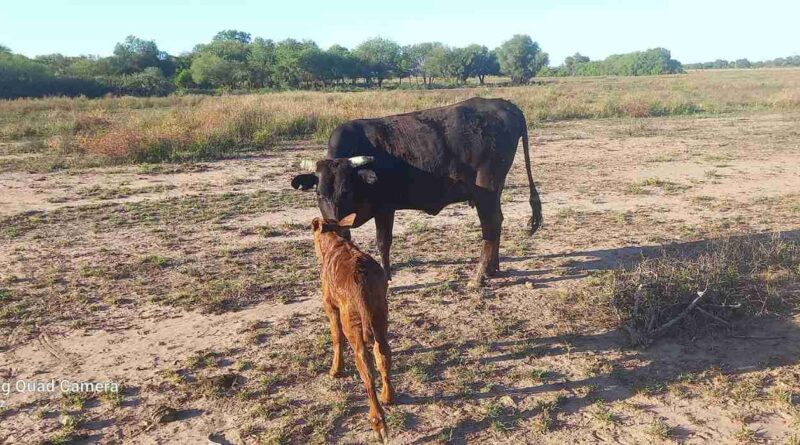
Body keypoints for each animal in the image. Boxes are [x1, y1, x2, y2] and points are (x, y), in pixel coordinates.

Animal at [290, 96, 540, 288]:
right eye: (319, 194)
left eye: (347, 190)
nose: (333, 223)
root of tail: (505, 105)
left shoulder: (385, 208)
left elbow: (383, 242)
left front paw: (387, 277)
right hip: (495, 190)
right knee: (498, 222)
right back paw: (492, 269)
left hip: (485, 189)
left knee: (490, 225)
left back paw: (478, 277)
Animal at [310, 213, 396, 438]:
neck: (335, 243)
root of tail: (362, 277)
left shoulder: (330, 305)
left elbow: (336, 337)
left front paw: (336, 370)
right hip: (380, 315)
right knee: (383, 354)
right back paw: (388, 396)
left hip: (353, 324)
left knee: (366, 367)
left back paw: (377, 421)